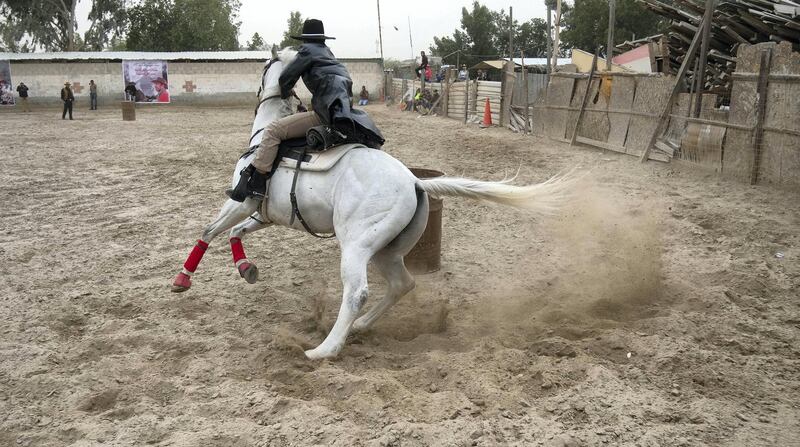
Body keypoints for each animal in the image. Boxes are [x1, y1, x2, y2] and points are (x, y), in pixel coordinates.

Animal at [172, 47, 580, 360]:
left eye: (264, 68)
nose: (257, 91)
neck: (263, 139)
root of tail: (414, 181)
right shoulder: (264, 214)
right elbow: (235, 234)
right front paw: (246, 268)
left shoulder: (241, 203)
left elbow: (209, 230)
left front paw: (182, 280)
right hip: (386, 250)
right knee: (401, 285)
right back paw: (362, 327)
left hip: (356, 246)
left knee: (357, 293)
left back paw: (324, 349)